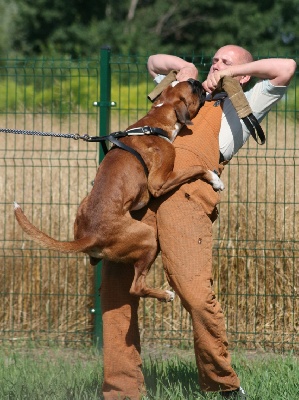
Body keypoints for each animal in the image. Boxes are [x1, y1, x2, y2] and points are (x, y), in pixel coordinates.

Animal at [14, 79, 225, 302]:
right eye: (193, 88)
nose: (199, 81)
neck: (154, 122)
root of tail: (91, 236)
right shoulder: (158, 182)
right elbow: (196, 168)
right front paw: (215, 180)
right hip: (148, 237)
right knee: (136, 287)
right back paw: (166, 294)